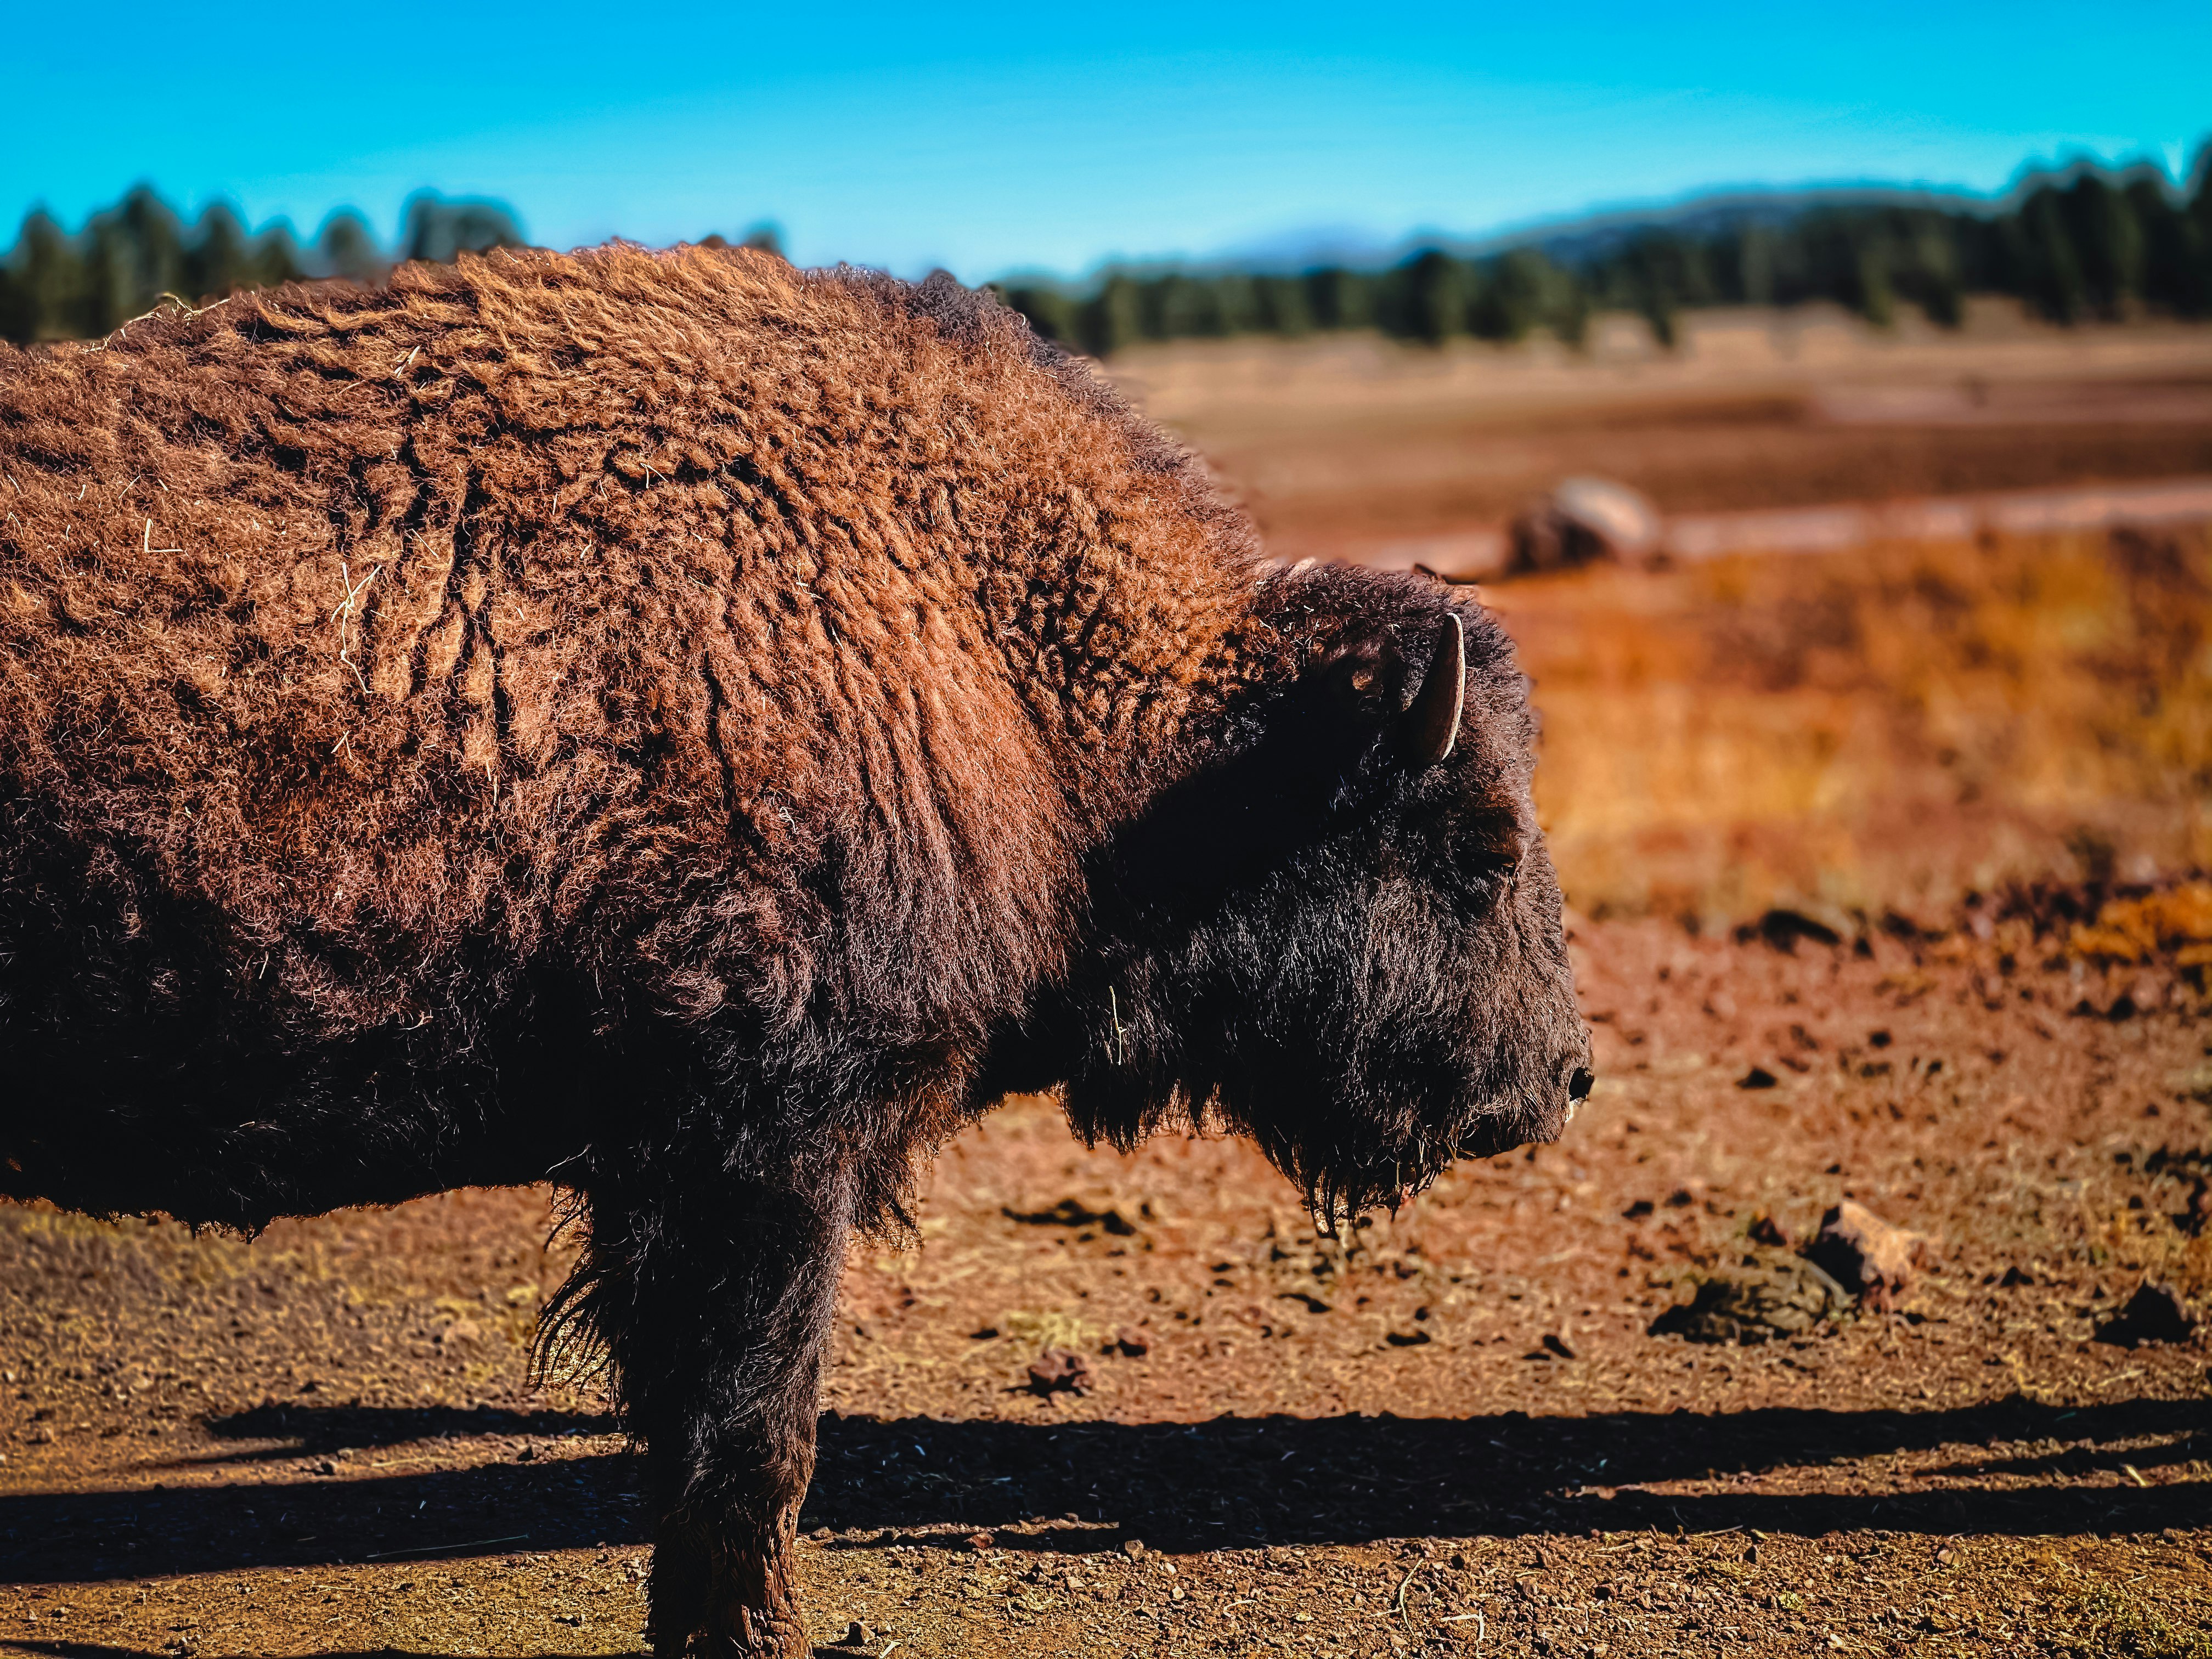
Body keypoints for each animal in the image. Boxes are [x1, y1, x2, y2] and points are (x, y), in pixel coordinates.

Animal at [0, 250, 1593, 1659]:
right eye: (1478, 842)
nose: (1563, 1080)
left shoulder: (667, 1174)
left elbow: (690, 1438)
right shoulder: (761, 1147)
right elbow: (755, 1436)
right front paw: (758, 1638)